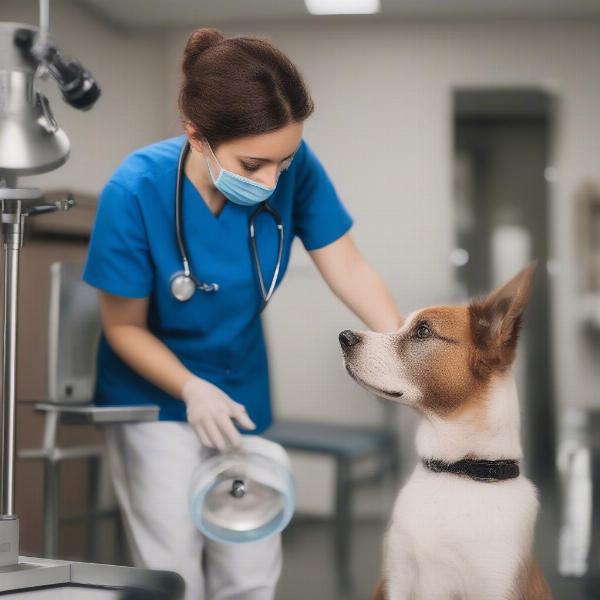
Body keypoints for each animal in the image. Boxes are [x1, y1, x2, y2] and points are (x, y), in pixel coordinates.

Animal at [338, 264, 552, 600]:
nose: (344, 336)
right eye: (400, 326)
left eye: (423, 331)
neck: (457, 470)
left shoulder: (493, 586)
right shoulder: (397, 579)